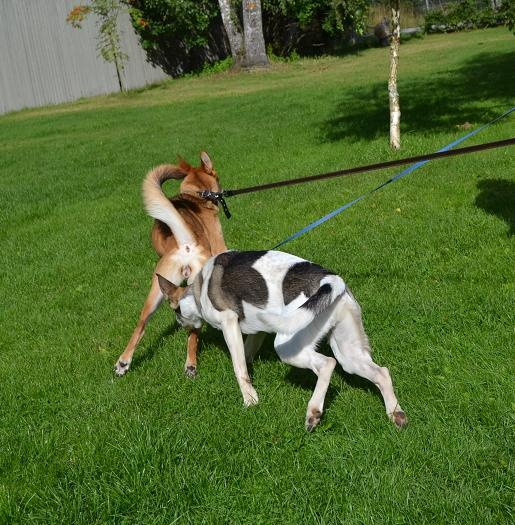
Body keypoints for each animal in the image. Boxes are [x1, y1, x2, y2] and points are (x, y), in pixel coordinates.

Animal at [114, 151, 227, 378]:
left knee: (141, 326)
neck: (198, 195)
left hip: (156, 290)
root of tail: (184, 243)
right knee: (193, 333)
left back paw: (123, 363)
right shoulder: (218, 242)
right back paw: (191, 364)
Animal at [157, 250, 407, 431]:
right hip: (349, 353)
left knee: (327, 364)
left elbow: (239, 368)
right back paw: (396, 414)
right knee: (381, 373)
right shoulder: (255, 333)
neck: (200, 288)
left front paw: (250, 401)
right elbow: (247, 357)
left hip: (289, 346)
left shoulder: (229, 323)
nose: (182, 325)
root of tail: (329, 280)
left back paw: (313, 412)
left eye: (176, 312)